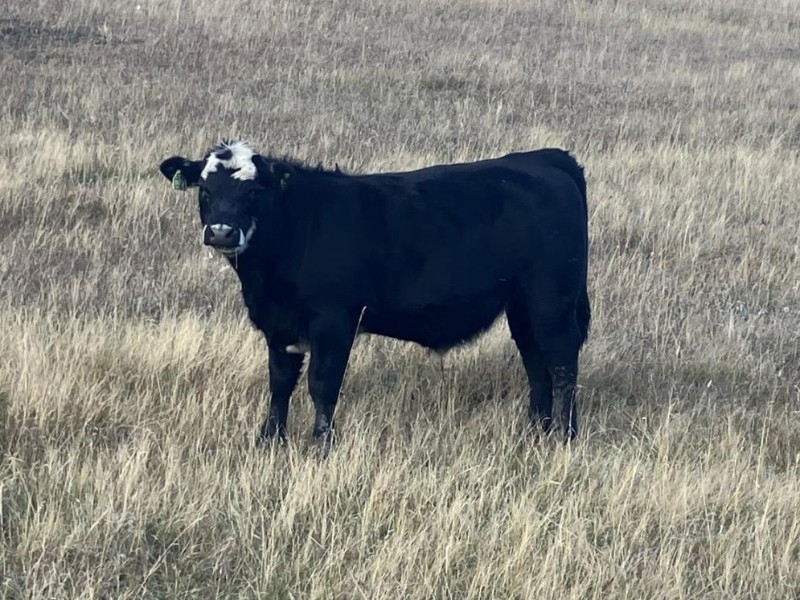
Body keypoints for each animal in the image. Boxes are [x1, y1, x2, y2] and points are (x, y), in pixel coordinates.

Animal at [159, 141, 590, 443]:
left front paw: (322, 445)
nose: (221, 232)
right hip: (522, 305)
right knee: (536, 362)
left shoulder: (334, 322)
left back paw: (564, 435)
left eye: (253, 192)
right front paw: (269, 441)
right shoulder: (279, 326)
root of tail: (544, 158)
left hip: (552, 300)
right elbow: (280, 383)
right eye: (204, 190)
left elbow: (322, 384)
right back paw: (536, 430)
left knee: (562, 362)